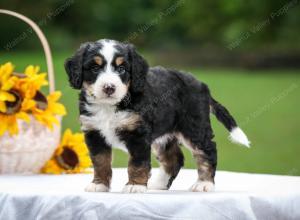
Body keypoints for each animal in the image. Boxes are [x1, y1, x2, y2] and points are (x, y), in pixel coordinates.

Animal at [64, 38, 250, 193]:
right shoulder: (94, 133)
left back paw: (204, 183)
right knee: (174, 158)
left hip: (194, 127)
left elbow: (137, 163)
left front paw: (135, 186)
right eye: (95, 68)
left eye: (122, 69)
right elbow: (100, 161)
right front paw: (99, 184)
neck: (109, 107)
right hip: (164, 135)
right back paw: (159, 184)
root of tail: (201, 85)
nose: (109, 87)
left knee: (207, 151)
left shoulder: (138, 134)